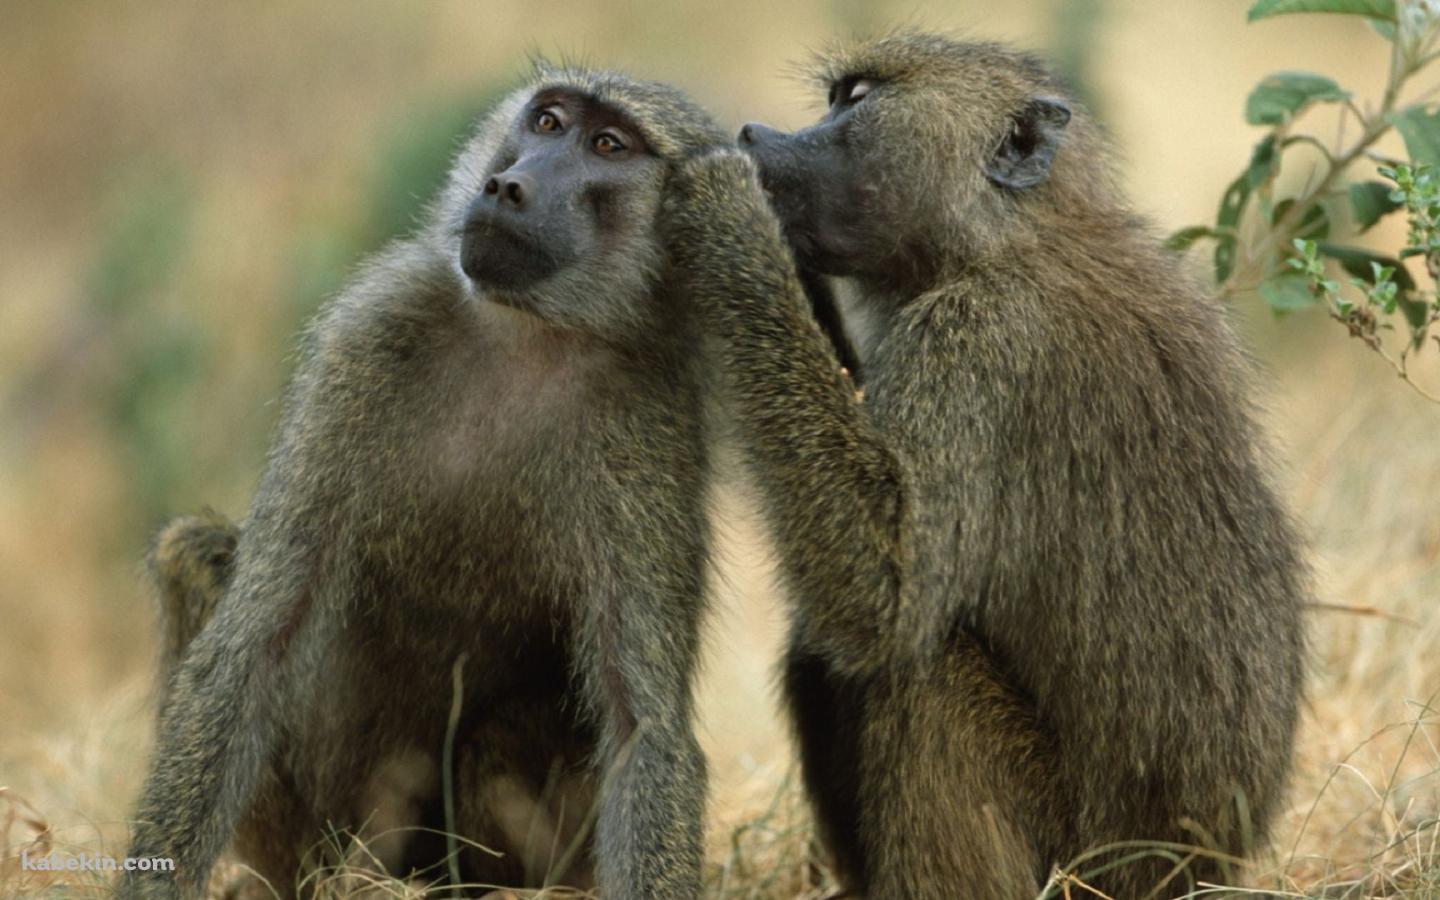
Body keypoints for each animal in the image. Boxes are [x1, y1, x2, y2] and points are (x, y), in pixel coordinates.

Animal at [118, 64, 731, 900]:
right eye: (547, 122)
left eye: (608, 145)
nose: (508, 186)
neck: (527, 336)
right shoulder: (366, 336)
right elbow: (250, 647)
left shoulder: (652, 426)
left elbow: (644, 727)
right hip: (321, 835)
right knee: (193, 552)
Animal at [662, 32, 1308, 898]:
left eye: (856, 100)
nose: (756, 135)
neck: (1005, 238)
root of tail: (1199, 869)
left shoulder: (981, 343)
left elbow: (886, 596)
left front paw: (730, 213)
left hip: (1078, 859)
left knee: (917, 673)